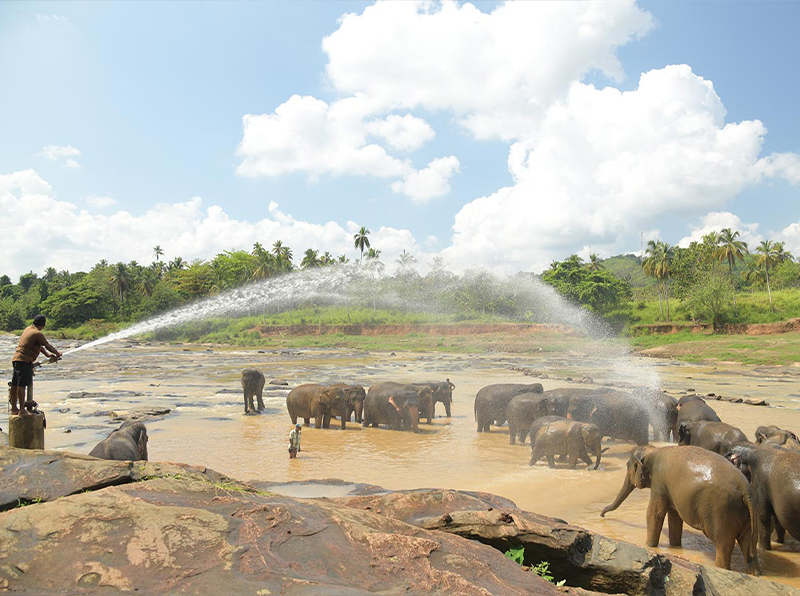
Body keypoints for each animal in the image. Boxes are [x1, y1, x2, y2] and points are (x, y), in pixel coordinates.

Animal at [601, 446, 758, 573]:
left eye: (628, 468)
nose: (602, 515)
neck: (653, 450)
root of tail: (746, 491)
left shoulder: (659, 483)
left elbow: (654, 514)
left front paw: (650, 546)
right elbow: (674, 516)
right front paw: (675, 545)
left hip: (721, 513)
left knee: (723, 546)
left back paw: (722, 568)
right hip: (746, 517)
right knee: (748, 548)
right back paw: (752, 571)